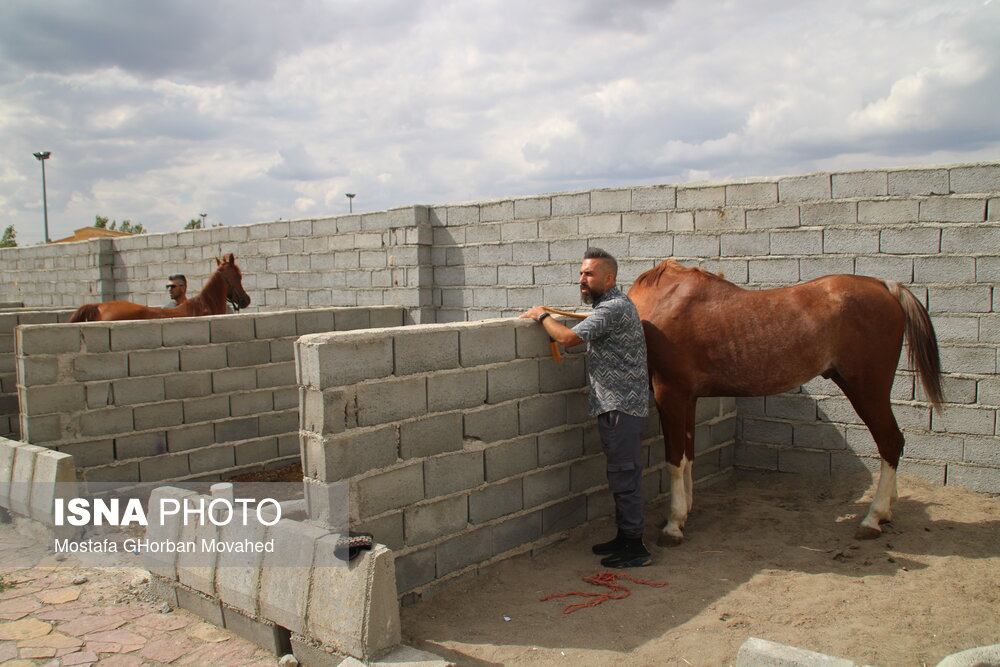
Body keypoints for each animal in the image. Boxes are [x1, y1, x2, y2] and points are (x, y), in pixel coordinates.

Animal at [627, 259, 943, 545]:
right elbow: (689, 455)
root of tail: (884, 286)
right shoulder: (688, 398)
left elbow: (675, 460)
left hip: (867, 390)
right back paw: (887, 511)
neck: (658, 305)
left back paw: (873, 518)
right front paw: (686, 512)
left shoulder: (670, 394)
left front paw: (674, 523)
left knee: (890, 442)